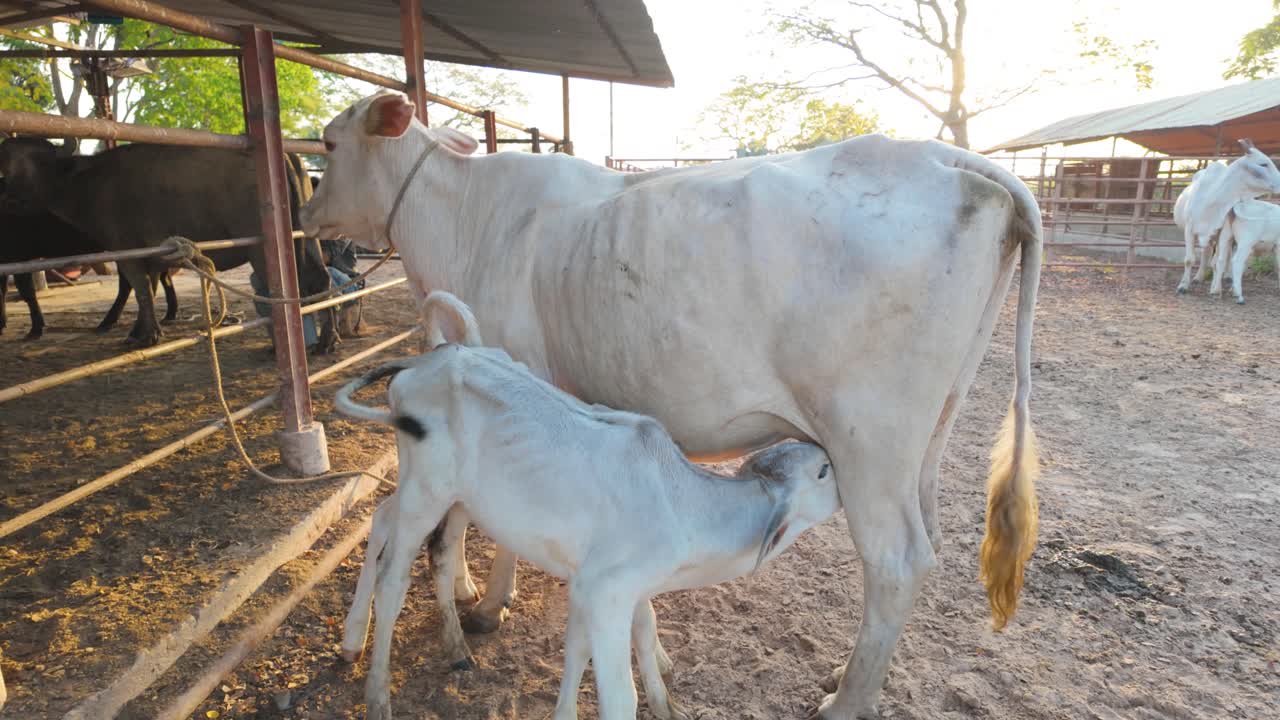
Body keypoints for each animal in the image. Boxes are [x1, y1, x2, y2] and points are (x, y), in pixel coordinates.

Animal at [0, 138, 335, 349]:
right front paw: (141, 330)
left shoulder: (127, 249)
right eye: (4, 158)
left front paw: (147, 335)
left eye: (39, 161)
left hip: (261, 246)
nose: (5, 186)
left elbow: (139, 288)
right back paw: (326, 341)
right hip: (309, 238)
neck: (89, 182)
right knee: (319, 280)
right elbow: (148, 287)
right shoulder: (152, 256)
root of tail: (286, 154)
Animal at [302, 91, 1044, 719]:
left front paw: (486, 606)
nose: (306, 217)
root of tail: (946, 156)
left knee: (897, 562)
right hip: (931, 432)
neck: (463, 217)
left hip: (869, 437)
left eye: (329, 144)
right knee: (931, 539)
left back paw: (845, 702)